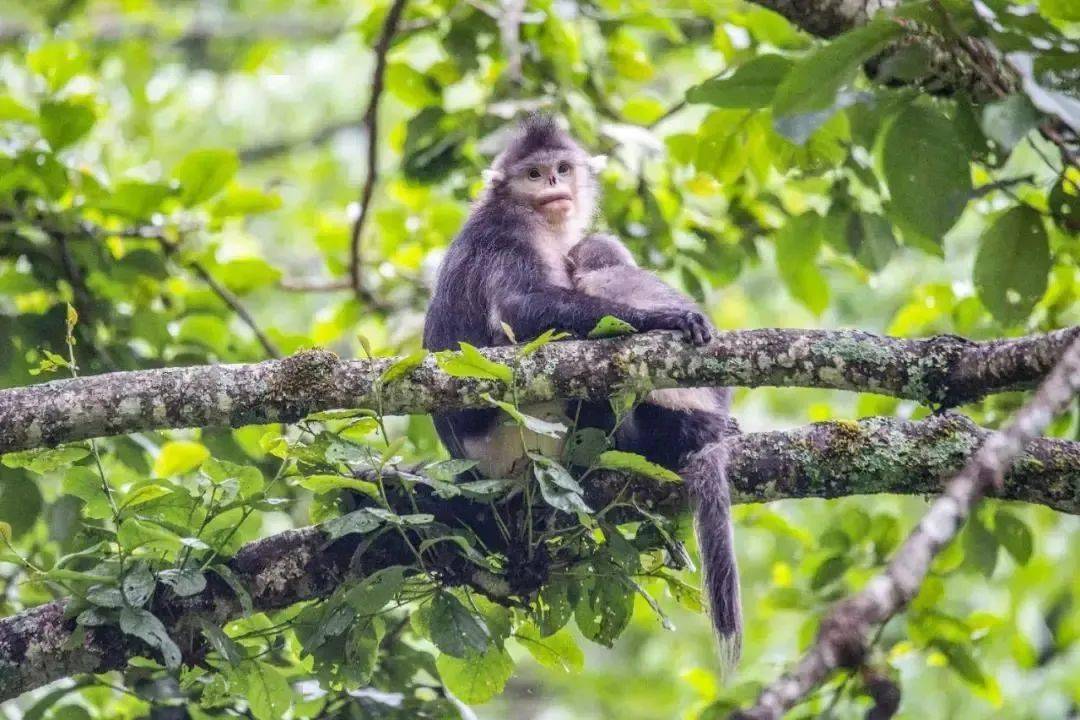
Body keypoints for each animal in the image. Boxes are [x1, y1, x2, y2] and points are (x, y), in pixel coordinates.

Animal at [419, 113, 708, 479]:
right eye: (533, 174)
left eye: (563, 168)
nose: (553, 180)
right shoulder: (509, 232)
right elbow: (517, 308)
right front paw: (664, 317)